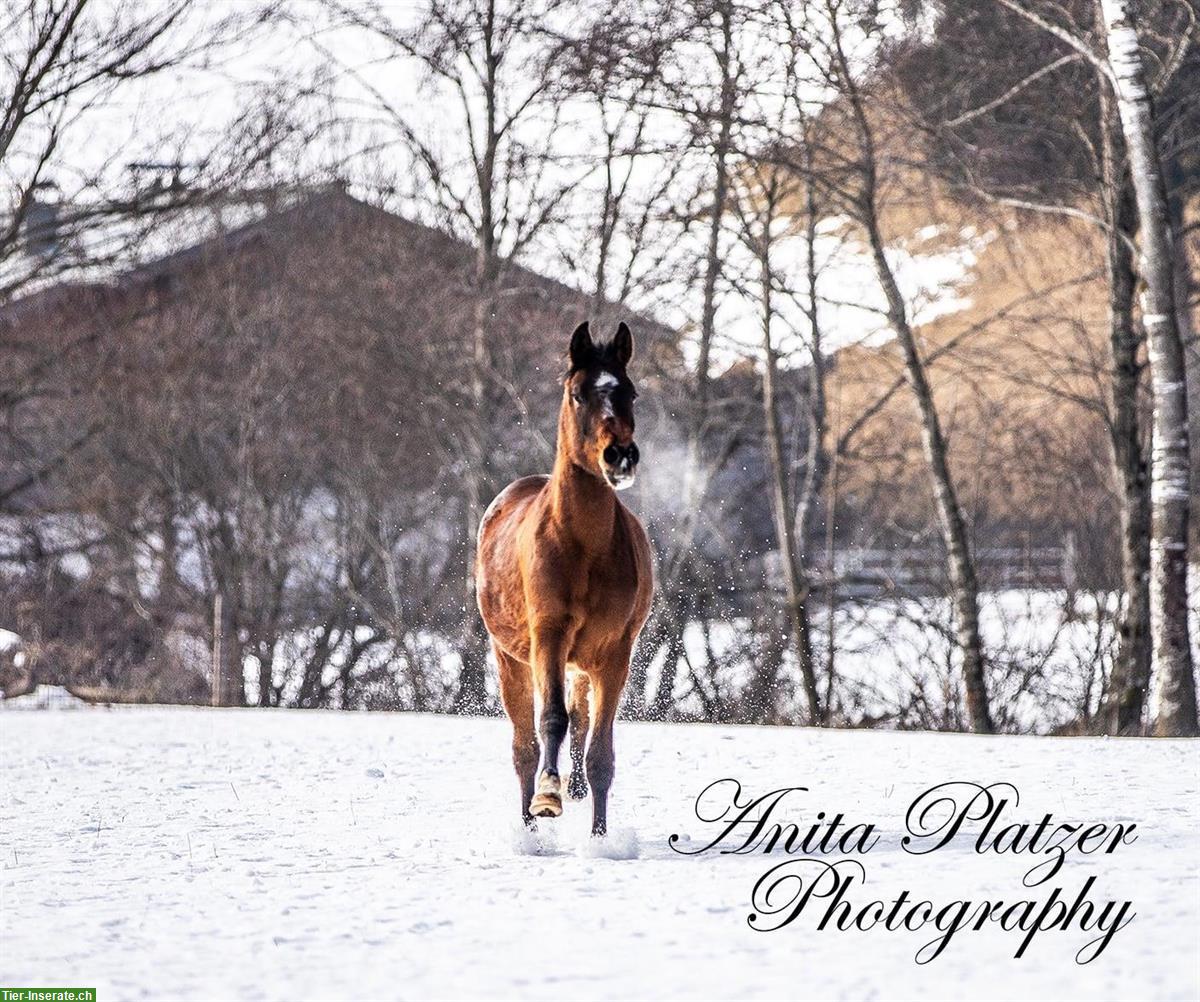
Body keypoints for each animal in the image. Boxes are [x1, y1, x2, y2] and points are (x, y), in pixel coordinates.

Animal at [475, 324, 652, 840]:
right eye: (578, 394)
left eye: (630, 392)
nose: (620, 455)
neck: (582, 547)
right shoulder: (548, 636)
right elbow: (550, 720)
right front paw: (548, 797)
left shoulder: (613, 654)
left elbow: (599, 753)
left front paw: (600, 839)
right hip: (511, 659)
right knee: (524, 746)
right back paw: (529, 829)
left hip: (581, 665)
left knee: (577, 727)